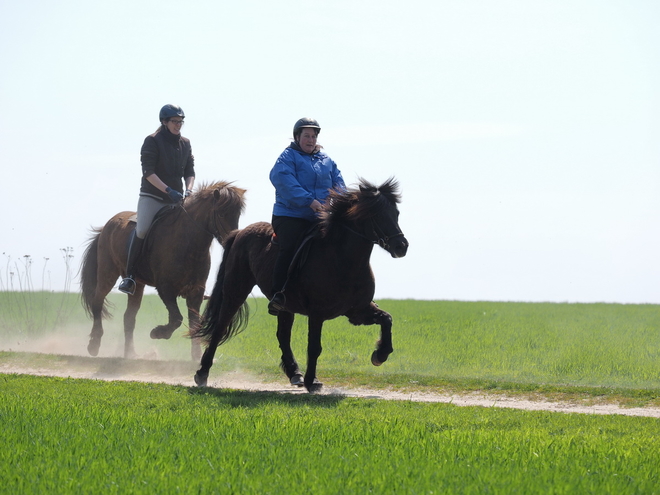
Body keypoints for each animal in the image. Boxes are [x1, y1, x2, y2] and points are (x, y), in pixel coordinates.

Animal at [80, 182, 245, 360]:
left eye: (237, 216)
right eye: (221, 214)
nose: (233, 240)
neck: (188, 243)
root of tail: (106, 226)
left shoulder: (196, 291)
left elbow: (194, 322)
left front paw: (196, 356)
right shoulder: (166, 288)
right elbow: (177, 318)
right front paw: (157, 333)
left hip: (137, 284)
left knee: (129, 317)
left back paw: (131, 353)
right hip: (107, 273)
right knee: (98, 301)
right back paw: (94, 345)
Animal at [193, 177, 408, 392]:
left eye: (396, 213)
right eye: (376, 215)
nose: (401, 247)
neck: (341, 258)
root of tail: (239, 233)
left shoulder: (357, 311)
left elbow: (387, 319)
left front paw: (380, 355)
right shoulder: (317, 313)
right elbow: (314, 347)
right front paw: (312, 381)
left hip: (285, 306)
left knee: (282, 335)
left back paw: (295, 373)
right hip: (235, 292)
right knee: (220, 327)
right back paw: (202, 373)